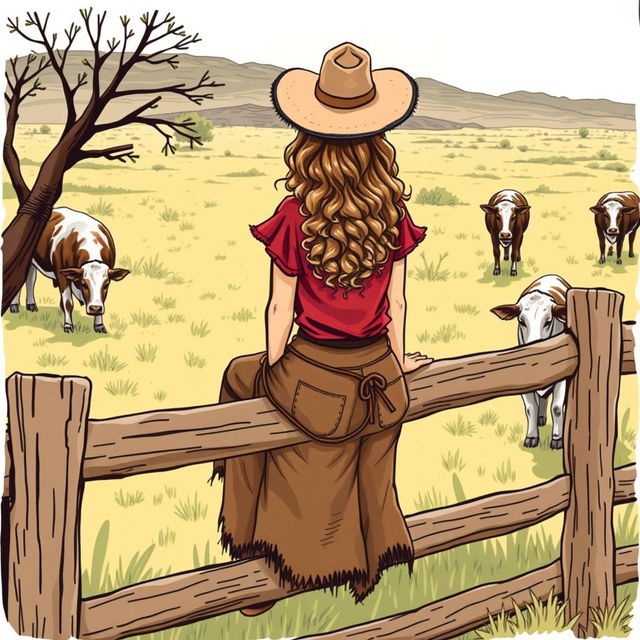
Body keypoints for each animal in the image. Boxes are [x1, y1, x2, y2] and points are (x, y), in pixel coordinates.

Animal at [10, 206, 130, 336]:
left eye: (106, 285)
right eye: (84, 284)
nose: (95, 308)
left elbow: (101, 299)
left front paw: (99, 325)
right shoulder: (62, 275)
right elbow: (67, 303)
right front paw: (68, 325)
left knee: (30, 280)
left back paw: (31, 305)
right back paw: (14, 306)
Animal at [490, 274, 568, 450]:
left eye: (548, 321)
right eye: (521, 321)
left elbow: (557, 408)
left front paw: (558, 439)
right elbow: (531, 408)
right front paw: (532, 436)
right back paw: (540, 419)